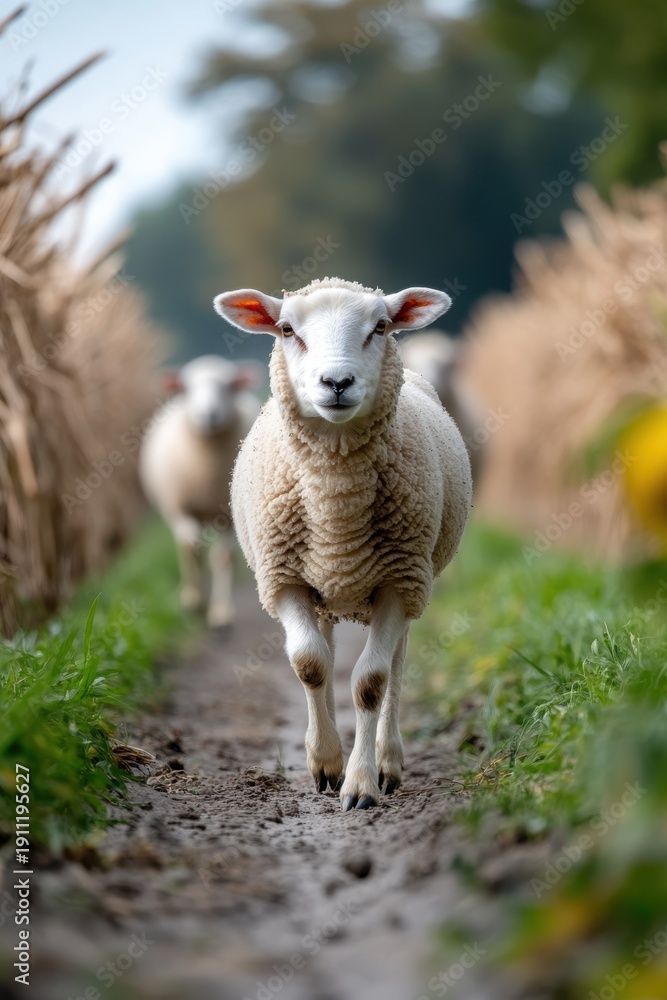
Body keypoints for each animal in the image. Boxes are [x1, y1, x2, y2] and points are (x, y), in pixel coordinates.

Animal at [139, 355, 260, 629]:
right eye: (187, 387)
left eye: (228, 386)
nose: (209, 414)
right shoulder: (180, 509)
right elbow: (191, 548)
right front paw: (194, 601)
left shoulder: (228, 515)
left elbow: (223, 558)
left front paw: (221, 612)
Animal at [214, 277, 472, 809]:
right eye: (287, 329)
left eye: (381, 326)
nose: (336, 382)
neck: (337, 510)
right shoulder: (285, 578)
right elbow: (310, 664)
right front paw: (326, 763)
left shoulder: (399, 579)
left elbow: (371, 682)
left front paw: (360, 784)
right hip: (325, 588)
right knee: (326, 651)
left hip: (410, 582)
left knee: (395, 662)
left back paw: (389, 760)